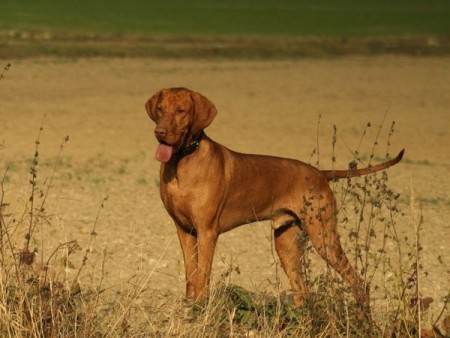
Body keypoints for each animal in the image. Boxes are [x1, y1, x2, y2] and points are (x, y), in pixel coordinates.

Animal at [147, 86, 404, 312]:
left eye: (181, 110)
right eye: (160, 109)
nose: (159, 133)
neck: (183, 161)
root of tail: (320, 174)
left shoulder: (207, 232)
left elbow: (202, 275)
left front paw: (201, 308)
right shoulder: (184, 229)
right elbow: (190, 274)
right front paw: (189, 308)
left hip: (324, 236)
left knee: (359, 283)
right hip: (286, 243)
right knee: (303, 292)